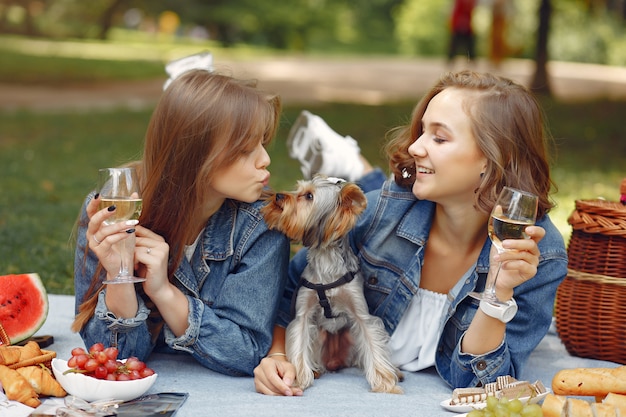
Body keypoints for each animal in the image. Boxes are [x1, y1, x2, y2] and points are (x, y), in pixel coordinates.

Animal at [260, 175, 402, 394]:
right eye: (298, 189)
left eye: (309, 196)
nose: (279, 196)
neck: (325, 259)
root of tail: (335, 361)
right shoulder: (303, 314)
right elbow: (299, 342)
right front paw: (298, 379)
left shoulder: (361, 314)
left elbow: (373, 342)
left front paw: (385, 383)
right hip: (319, 336)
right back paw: (315, 370)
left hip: (351, 336)